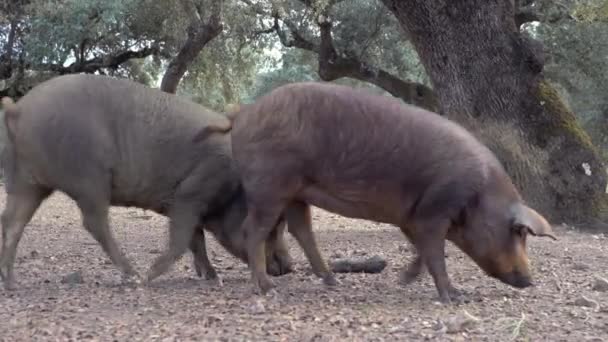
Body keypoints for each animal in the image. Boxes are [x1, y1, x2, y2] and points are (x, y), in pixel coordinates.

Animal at [0, 73, 294, 290]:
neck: (233, 190)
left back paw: (11, 283)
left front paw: (211, 276)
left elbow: (196, 241)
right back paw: (134, 276)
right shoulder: (190, 194)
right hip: (89, 180)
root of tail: (18, 109)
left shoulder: (189, 206)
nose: (290, 268)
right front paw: (152, 277)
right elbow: (182, 239)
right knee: (94, 223)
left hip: (25, 181)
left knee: (12, 221)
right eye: (275, 227)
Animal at [221, 81, 560, 304]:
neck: (479, 196)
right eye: (519, 233)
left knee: (301, 229)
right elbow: (435, 253)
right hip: (269, 185)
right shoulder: (433, 211)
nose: (530, 281)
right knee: (253, 229)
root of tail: (243, 113)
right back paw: (267, 288)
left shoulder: (412, 216)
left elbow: (422, 251)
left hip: (296, 191)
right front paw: (455, 297)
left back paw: (333, 282)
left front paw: (403, 280)